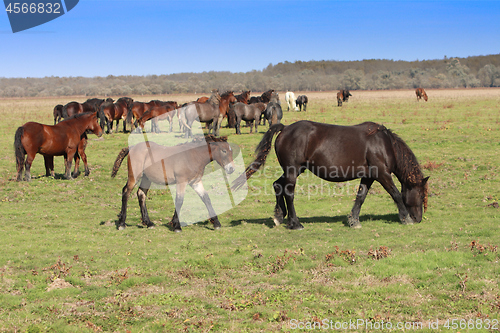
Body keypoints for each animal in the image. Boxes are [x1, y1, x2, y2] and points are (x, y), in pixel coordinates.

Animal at [232, 120, 428, 230]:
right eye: (420, 194)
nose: (419, 219)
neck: (383, 144)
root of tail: (285, 128)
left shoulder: (369, 176)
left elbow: (361, 197)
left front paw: (353, 220)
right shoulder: (382, 174)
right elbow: (396, 194)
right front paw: (405, 218)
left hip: (296, 170)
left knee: (277, 185)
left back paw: (280, 216)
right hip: (293, 171)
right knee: (288, 192)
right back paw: (295, 223)